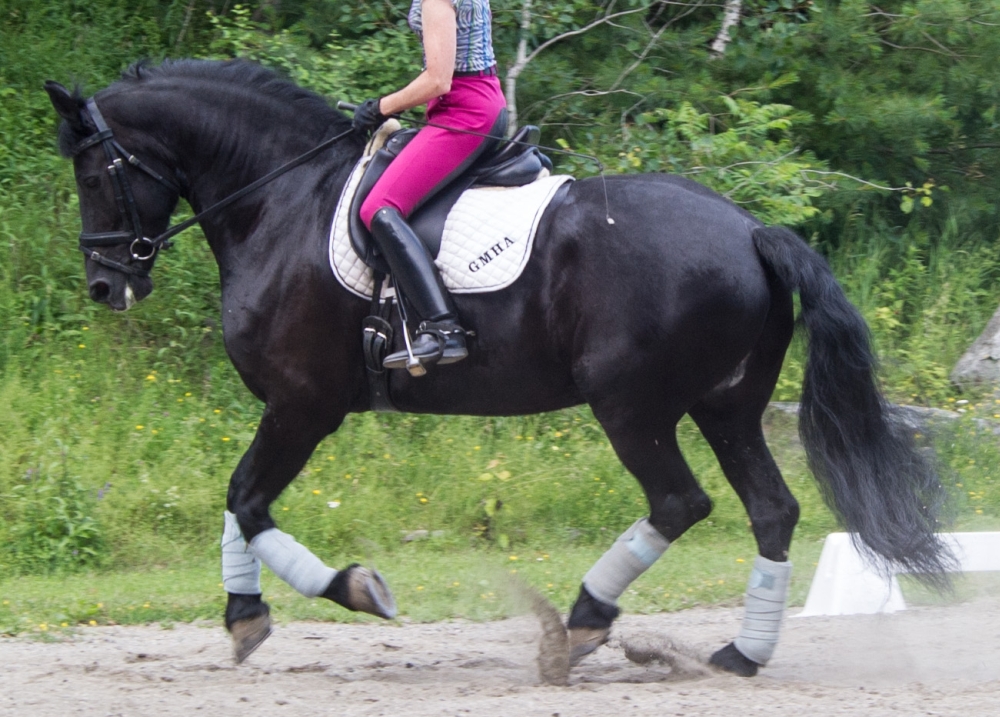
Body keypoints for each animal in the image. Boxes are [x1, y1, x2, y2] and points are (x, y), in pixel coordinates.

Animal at [45, 58, 951, 679]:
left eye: (92, 171)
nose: (105, 285)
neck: (281, 200)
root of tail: (752, 229)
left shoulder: (302, 403)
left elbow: (245, 498)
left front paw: (335, 594)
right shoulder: (293, 407)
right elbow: (242, 502)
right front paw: (253, 612)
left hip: (631, 404)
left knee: (678, 501)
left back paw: (581, 625)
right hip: (724, 405)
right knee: (771, 508)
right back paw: (739, 653)